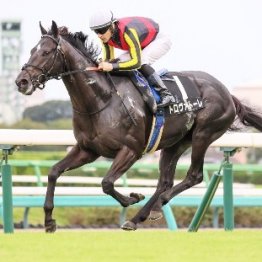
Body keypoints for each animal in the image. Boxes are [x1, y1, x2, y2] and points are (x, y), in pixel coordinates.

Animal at [15, 22, 262, 231]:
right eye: (31, 50)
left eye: (46, 52)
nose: (21, 81)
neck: (102, 99)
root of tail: (228, 93)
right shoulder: (88, 150)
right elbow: (54, 172)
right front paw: (49, 221)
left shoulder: (131, 150)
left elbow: (106, 183)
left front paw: (132, 197)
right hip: (175, 143)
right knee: (164, 182)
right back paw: (139, 217)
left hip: (203, 134)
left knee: (193, 176)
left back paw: (156, 205)